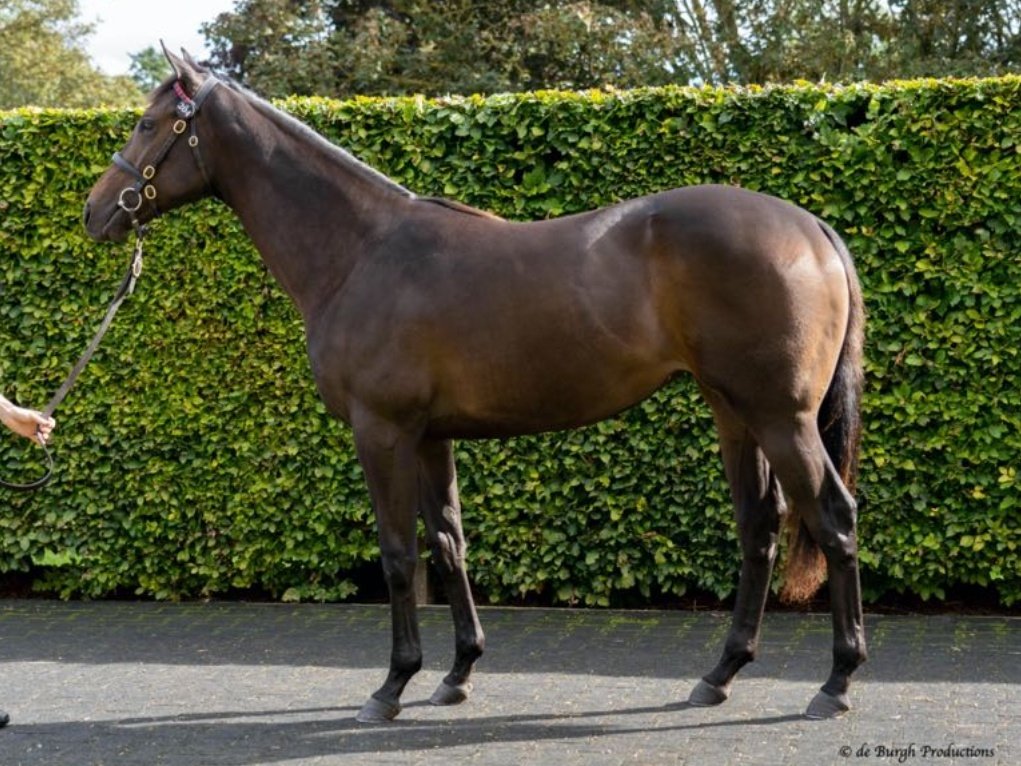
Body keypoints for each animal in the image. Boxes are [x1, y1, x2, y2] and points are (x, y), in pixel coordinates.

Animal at [84, 48, 866, 722]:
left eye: (149, 124)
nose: (95, 212)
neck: (361, 252)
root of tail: (812, 228)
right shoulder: (432, 437)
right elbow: (448, 541)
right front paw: (457, 674)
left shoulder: (382, 431)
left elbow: (399, 553)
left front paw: (392, 685)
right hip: (734, 412)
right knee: (759, 527)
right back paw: (719, 675)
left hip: (782, 418)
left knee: (833, 517)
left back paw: (835, 682)